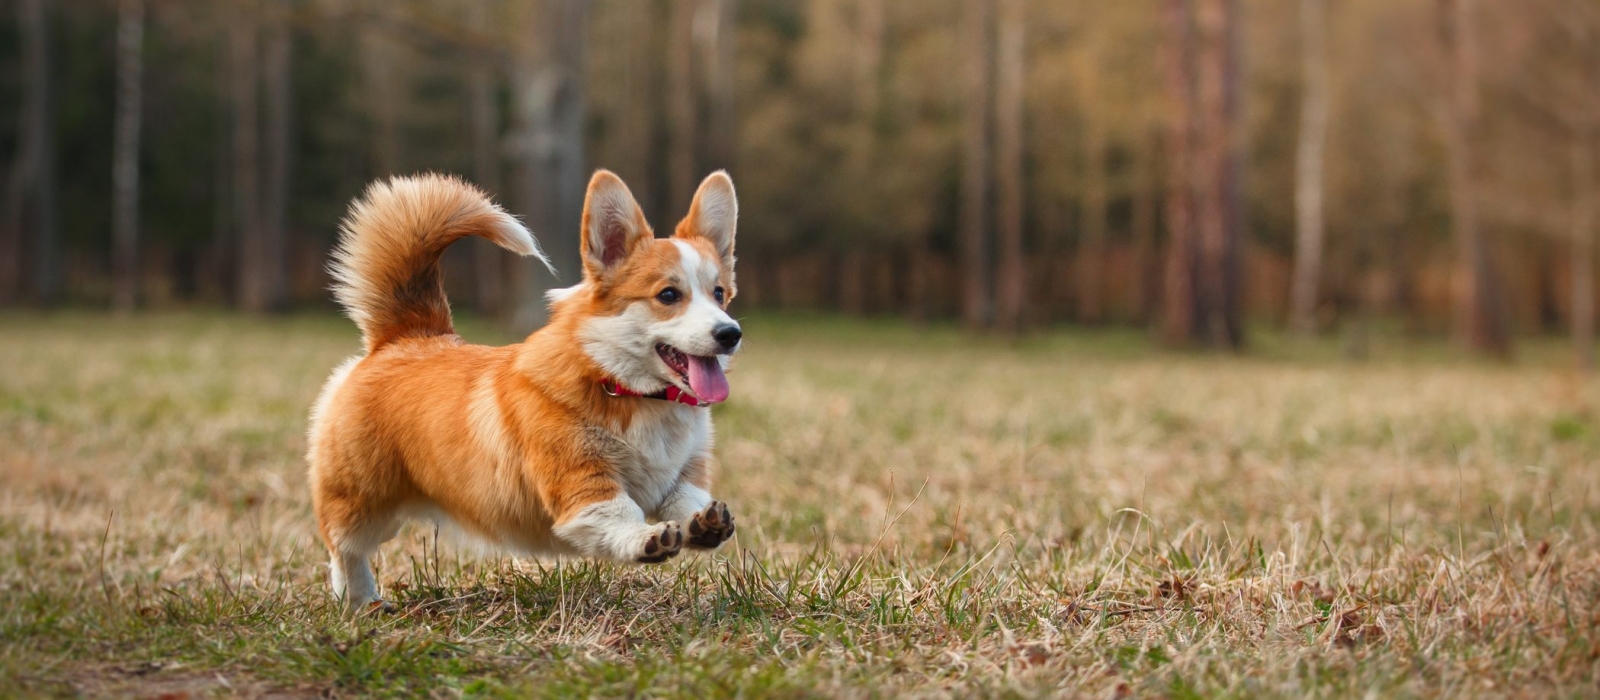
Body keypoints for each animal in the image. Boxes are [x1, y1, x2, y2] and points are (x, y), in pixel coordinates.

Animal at [305, 167, 742, 610]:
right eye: (668, 295)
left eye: (719, 294)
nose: (730, 334)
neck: (628, 388)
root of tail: (405, 336)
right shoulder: (582, 483)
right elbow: (619, 513)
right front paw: (645, 538)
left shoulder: (682, 475)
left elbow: (686, 500)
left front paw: (704, 524)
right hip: (362, 501)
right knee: (344, 548)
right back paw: (359, 602)